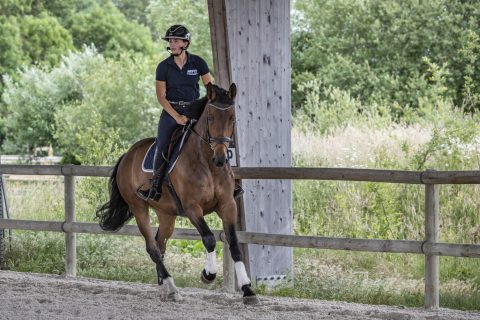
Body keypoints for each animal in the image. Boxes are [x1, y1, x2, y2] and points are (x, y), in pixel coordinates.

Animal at [94, 83, 258, 304]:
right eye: (210, 118)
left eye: (232, 118)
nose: (221, 158)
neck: (208, 165)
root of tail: (128, 155)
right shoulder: (192, 208)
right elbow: (209, 238)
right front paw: (208, 274)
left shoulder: (227, 205)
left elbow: (234, 244)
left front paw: (247, 289)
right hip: (139, 207)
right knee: (152, 247)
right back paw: (171, 287)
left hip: (166, 214)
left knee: (159, 243)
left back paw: (163, 285)